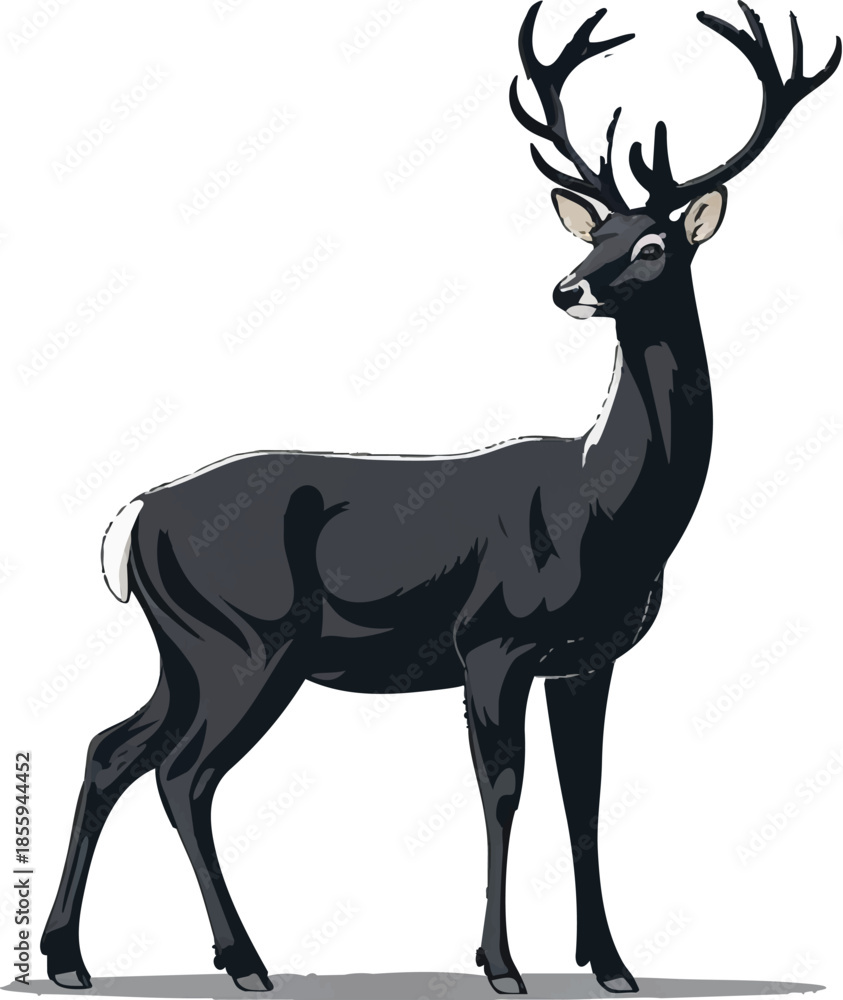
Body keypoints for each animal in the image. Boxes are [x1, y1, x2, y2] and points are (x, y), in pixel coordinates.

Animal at [42, 2, 839, 995]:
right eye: (591, 237)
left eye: (652, 243)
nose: (566, 288)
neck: (608, 512)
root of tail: (133, 517)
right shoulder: (490, 639)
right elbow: (503, 791)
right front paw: (500, 965)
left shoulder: (588, 658)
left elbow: (585, 798)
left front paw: (611, 963)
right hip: (245, 642)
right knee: (182, 776)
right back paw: (243, 960)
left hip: (185, 648)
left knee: (112, 747)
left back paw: (70, 957)